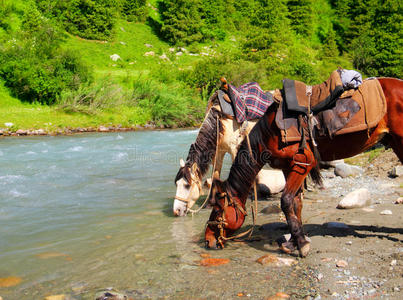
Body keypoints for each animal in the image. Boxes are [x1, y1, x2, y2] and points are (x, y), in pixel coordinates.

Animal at [207, 77, 402, 255]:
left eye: (217, 210)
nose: (208, 240)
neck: (268, 133)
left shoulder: (303, 162)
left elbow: (286, 201)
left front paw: (301, 244)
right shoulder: (289, 168)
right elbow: (296, 203)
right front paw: (294, 242)